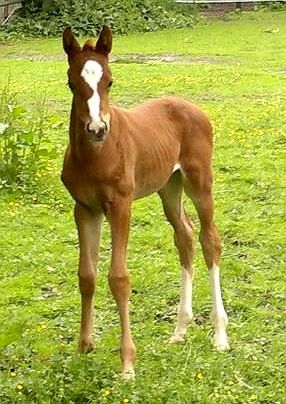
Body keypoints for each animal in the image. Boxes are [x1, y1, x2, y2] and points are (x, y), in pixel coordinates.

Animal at [61, 26, 229, 378]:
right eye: (71, 82)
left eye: (110, 81)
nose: (97, 128)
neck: (97, 154)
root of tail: (193, 107)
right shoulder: (85, 209)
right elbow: (86, 276)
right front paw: (83, 348)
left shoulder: (120, 206)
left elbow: (119, 278)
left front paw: (127, 364)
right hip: (169, 187)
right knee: (185, 237)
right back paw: (180, 330)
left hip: (199, 183)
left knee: (210, 240)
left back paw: (220, 335)